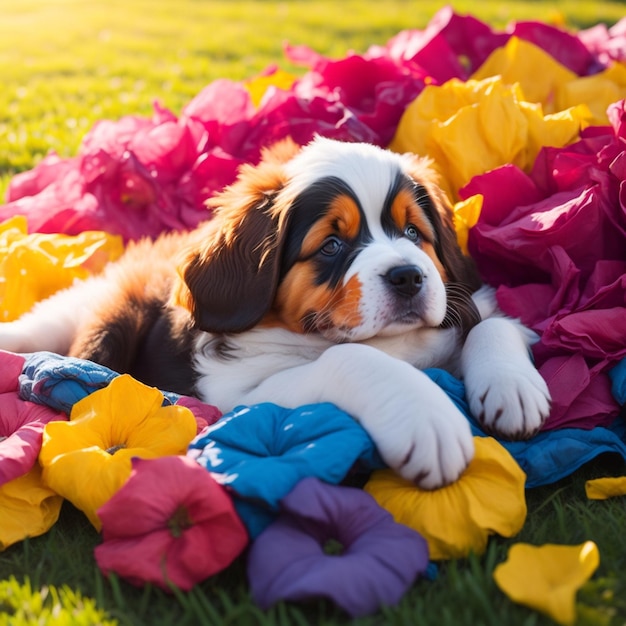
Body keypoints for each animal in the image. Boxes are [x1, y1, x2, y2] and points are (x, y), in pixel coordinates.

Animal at [0, 136, 548, 488]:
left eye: (413, 232)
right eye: (331, 245)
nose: (409, 277)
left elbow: (494, 323)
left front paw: (512, 387)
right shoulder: (241, 398)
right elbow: (351, 360)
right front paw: (424, 417)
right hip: (102, 320)